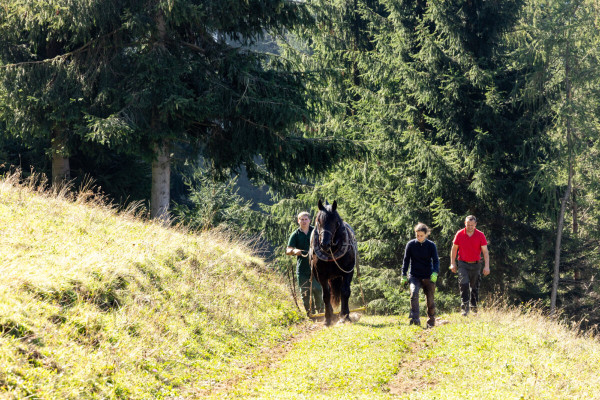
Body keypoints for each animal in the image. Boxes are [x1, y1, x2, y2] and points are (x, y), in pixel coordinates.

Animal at [310, 198, 356, 326]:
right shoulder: (321, 275)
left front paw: (344, 316)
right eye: (318, 220)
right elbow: (326, 295)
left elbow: (345, 292)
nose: (324, 244)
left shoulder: (348, 271)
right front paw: (327, 319)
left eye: (335, 221)